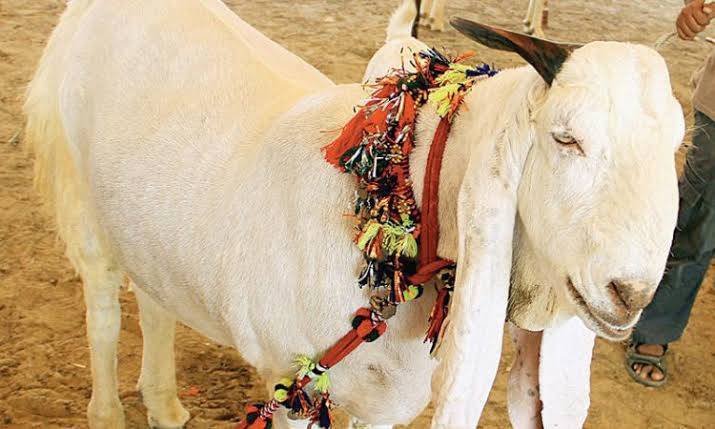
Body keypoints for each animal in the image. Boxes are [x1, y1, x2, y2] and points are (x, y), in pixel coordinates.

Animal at [25, 0, 684, 428]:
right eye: (564, 138)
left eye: (679, 145)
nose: (630, 294)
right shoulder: (290, 386)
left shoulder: (386, 405)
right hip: (84, 202)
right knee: (104, 314)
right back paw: (108, 413)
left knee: (155, 302)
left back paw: (164, 404)